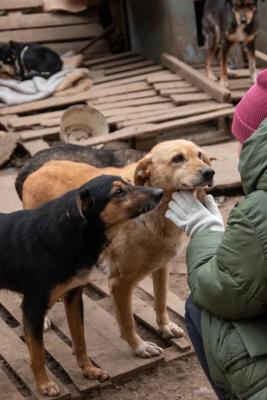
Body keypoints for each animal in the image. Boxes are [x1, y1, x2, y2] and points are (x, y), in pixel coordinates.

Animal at [0, 176, 163, 396]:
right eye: (118, 192)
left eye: (130, 182)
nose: (160, 192)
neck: (71, 234)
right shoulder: (33, 306)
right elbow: (38, 352)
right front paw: (44, 384)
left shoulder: (74, 296)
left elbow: (80, 340)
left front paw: (89, 369)